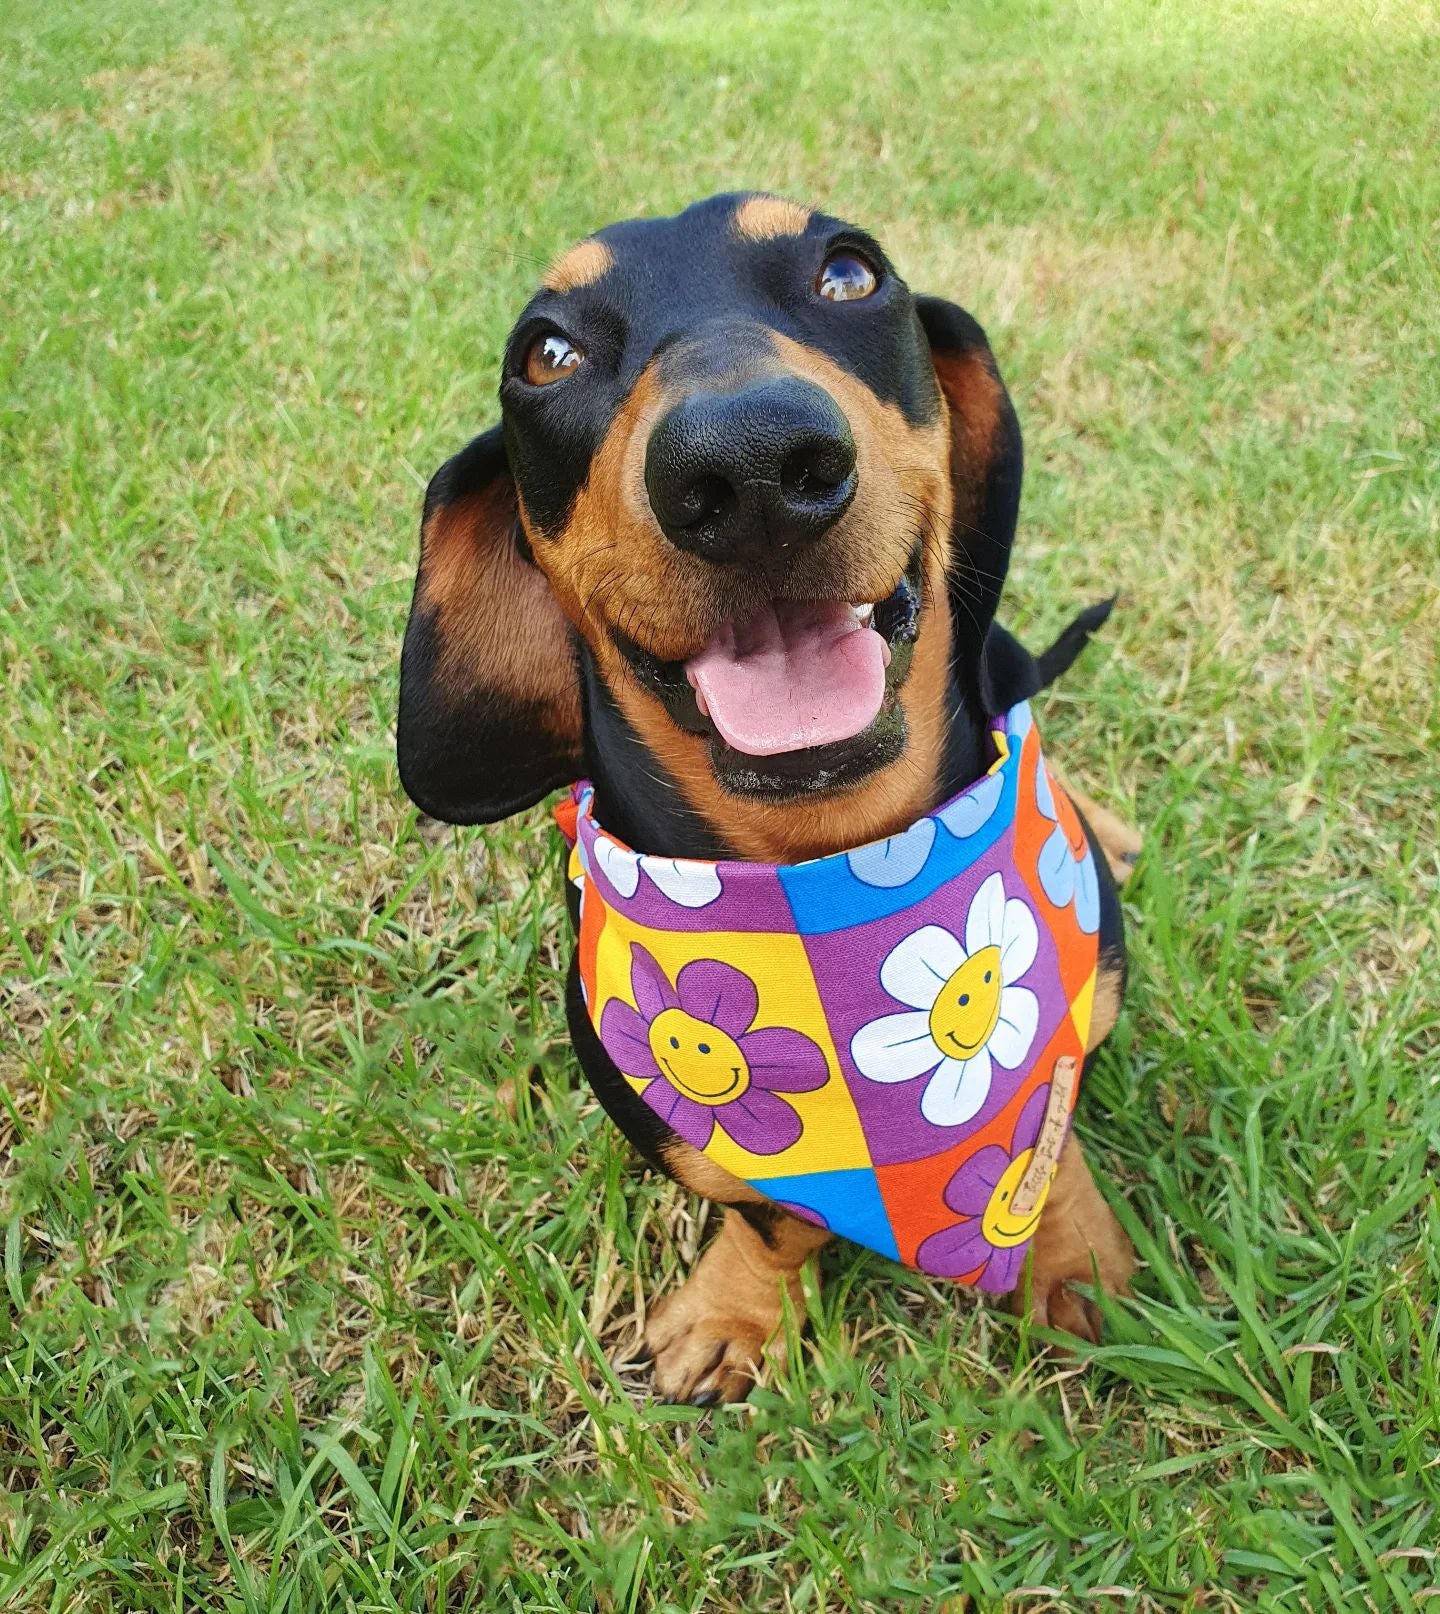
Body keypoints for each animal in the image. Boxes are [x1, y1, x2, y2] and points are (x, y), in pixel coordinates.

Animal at [398, 192, 1142, 1400]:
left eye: (849, 273)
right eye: (545, 355)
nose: (749, 467)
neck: (837, 874)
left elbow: (1057, 1117)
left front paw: (1071, 1249)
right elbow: (768, 1217)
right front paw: (737, 1309)